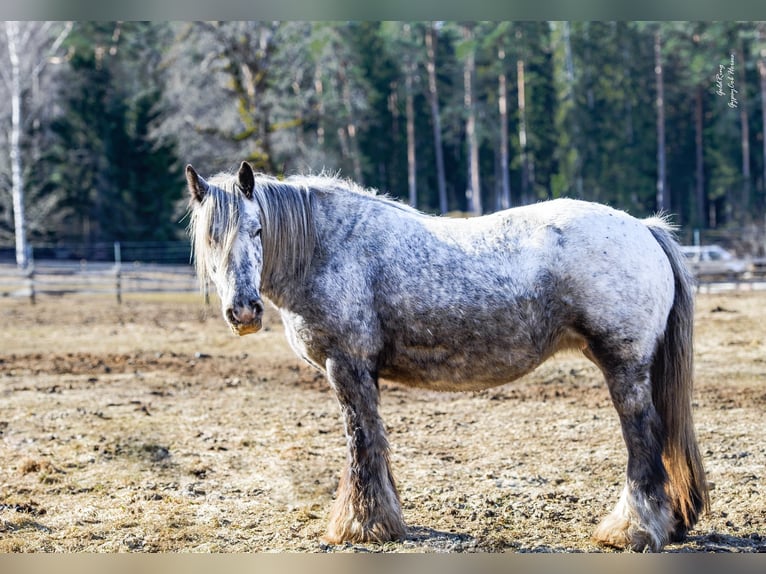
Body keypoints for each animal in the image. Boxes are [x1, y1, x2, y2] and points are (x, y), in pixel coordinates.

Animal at [184, 159, 708, 552]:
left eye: (256, 230)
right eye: (211, 236)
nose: (243, 310)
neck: (325, 248)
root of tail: (644, 228)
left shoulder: (346, 366)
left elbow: (361, 443)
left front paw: (361, 526)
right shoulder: (364, 373)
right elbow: (376, 442)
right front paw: (384, 520)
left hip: (624, 366)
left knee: (643, 439)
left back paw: (633, 530)